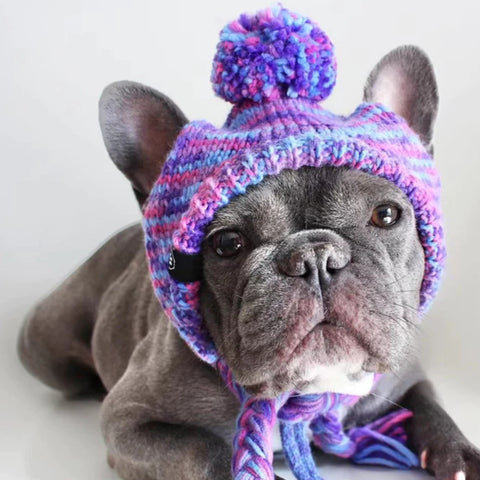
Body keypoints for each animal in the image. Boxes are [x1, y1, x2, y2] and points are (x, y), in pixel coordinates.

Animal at [18, 23, 480, 480]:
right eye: (227, 243)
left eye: (385, 215)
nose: (315, 257)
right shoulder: (129, 419)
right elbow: (205, 450)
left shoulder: (407, 377)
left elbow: (431, 407)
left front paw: (462, 456)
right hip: (45, 344)